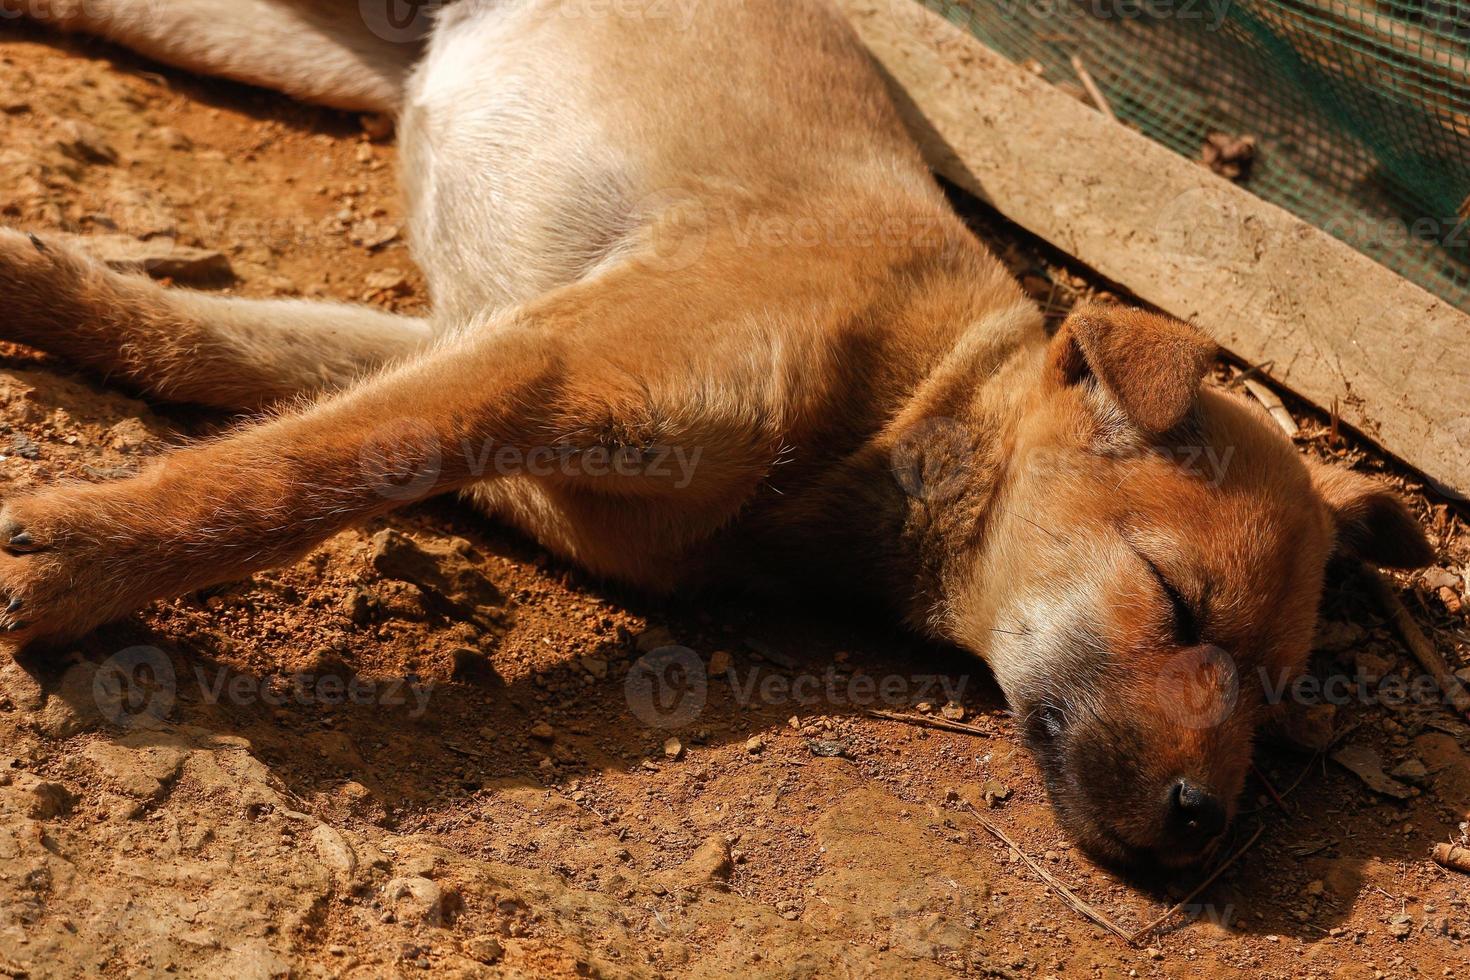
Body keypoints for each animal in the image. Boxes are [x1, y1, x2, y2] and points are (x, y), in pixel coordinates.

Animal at [0, 0, 1422, 863]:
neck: (894, 410)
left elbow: (219, 353)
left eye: (1282, 701)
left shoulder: (479, 347)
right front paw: (79, 558)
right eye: (1176, 605)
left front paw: (45, 293)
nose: (1202, 822)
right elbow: (295, 471)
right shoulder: (553, 360)